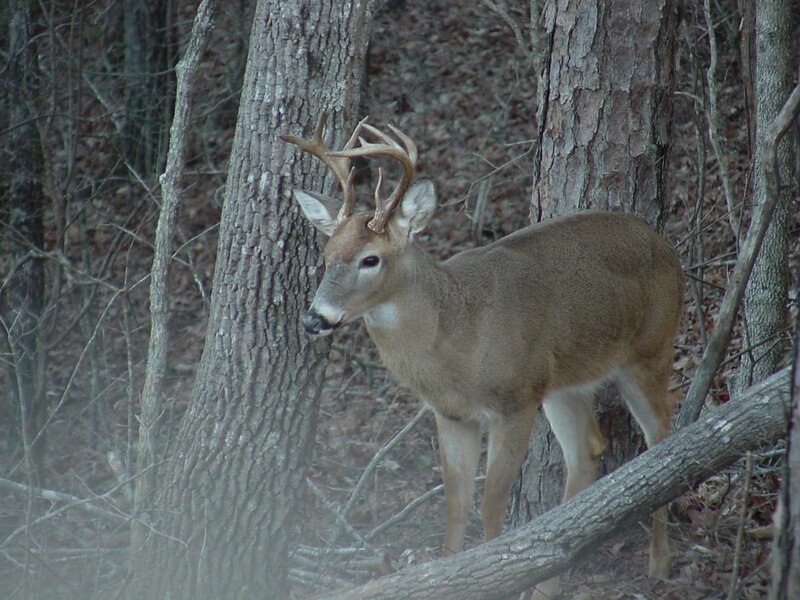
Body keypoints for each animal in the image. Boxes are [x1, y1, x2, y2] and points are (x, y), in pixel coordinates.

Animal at [282, 114, 684, 597]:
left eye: (370, 259)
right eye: (326, 255)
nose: (315, 318)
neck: (458, 343)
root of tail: (665, 246)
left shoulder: (515, 400)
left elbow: (491, 505)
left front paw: (498, 575)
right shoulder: (452, 414)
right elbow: (456, 506)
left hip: (649, 348)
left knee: (662, 434)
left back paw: (659, 564)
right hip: (562, 383)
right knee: (588, 448)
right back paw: (552, 581)